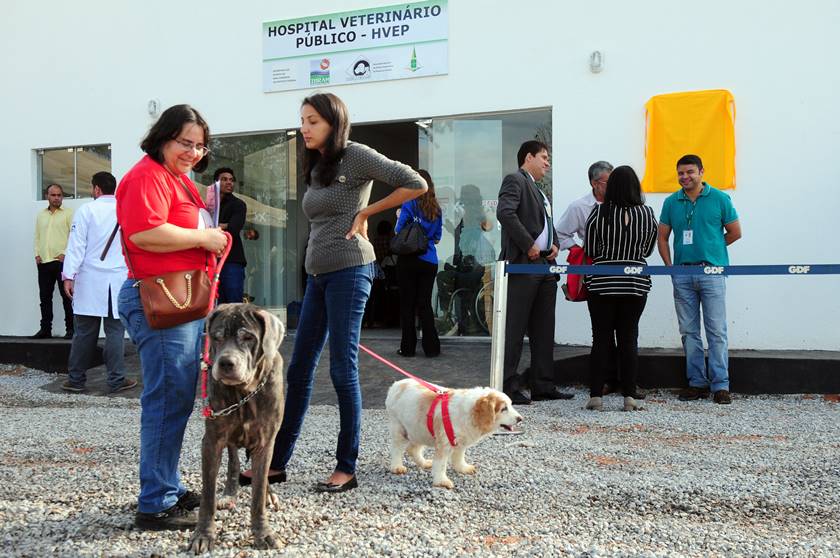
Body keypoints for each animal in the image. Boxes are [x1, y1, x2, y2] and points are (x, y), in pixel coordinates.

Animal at [188, 306, 286, 556]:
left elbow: (258, 492)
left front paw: (263, 533)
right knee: (234, 461)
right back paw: (229, 492)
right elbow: (208, 496)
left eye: (248, 337)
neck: (245, 392)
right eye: (217, 336)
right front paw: (203, 535)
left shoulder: (266, 442)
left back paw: (270, 496)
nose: (225, 363)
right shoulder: (211, 442)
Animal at [386, 380, 520, 490]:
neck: (470, 412)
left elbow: (459, 457)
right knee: (397, 449)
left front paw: (463, 468)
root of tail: (396, 384)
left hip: (418, 429)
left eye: (511, 405)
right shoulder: (444, 444)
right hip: (400, 429)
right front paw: (441, 481)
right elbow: (441, 464)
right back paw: (397, 467)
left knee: (413, 449)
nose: (520, 418)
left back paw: (424, 463)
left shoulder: (460, 442)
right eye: (504, 409)